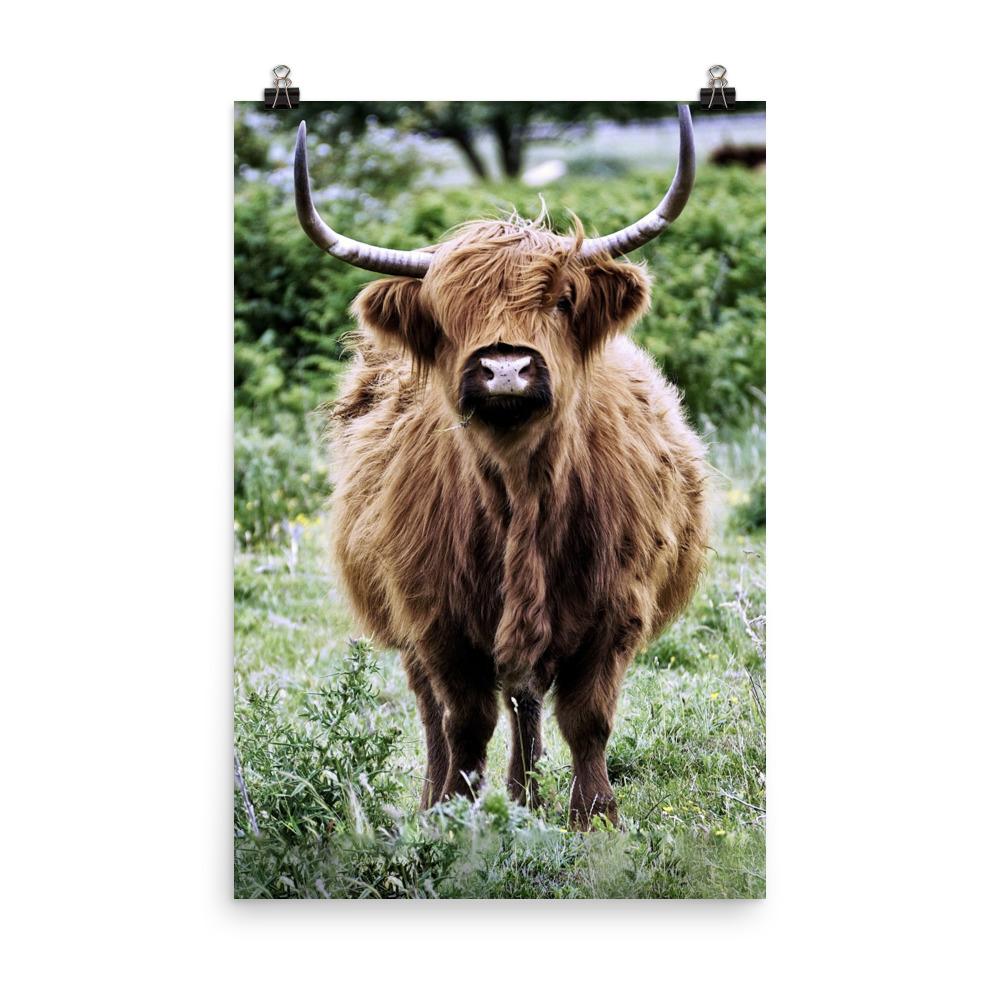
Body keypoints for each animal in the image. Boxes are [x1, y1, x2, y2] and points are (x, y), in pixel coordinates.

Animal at [293, 107, 710, 828]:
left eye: (563, 300)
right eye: (446, 312)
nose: (506, 368)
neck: (522, 493)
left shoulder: (617, 610)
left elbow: (587, 719)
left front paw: (594, 818)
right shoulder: (436, 620)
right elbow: (464, 720)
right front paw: (455, 816)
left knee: (527, 698)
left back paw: (526, 794)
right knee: (441, 711)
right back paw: (451, 797)